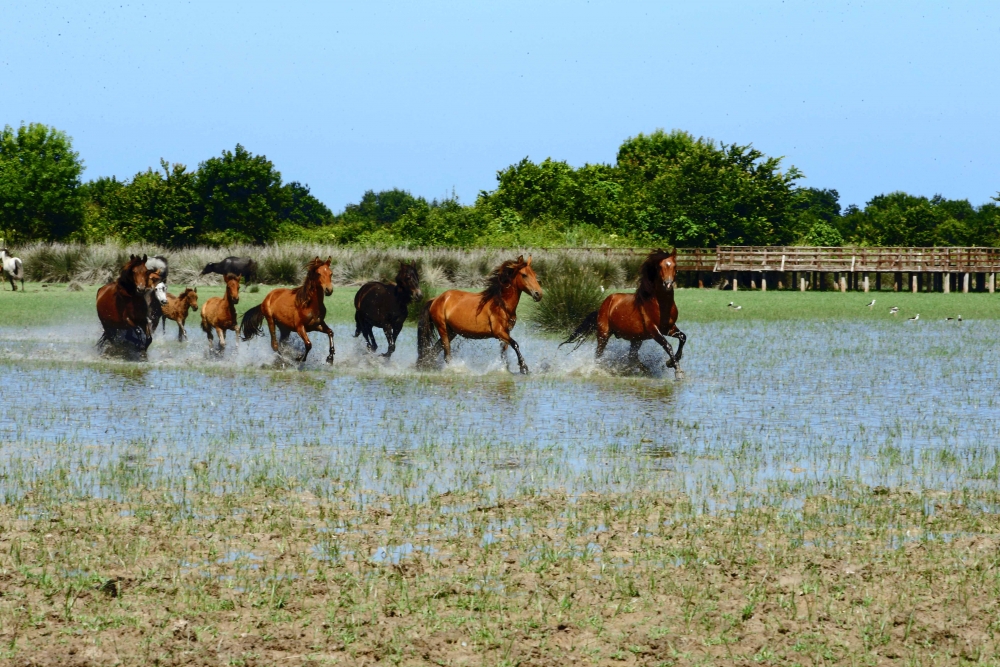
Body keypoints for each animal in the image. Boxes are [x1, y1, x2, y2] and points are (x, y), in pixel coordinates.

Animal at [416, 256, 544, 374]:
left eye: (534, 274)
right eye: (524, 275)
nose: (539, 294)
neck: (501, 304)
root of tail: (436, 299)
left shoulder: (506, 333)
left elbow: (504, 353)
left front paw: (506, 370)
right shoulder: (499, 332)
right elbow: (515, 344)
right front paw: (524, 367)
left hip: (451, 331)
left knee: (435, 350)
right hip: (442, 329)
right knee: (446, 354)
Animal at [564, 249, 688, 378]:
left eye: (675, 266)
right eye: (660, 266)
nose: (667, 284)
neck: (660, 305)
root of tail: (604, 305)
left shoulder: (669, 328)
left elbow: (683, 337)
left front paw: (671, 362)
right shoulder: (654, 330)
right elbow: (667, 345)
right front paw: (678, 371)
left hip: (636, 338)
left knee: (632, 357)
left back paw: (646, 371)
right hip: (604, 334)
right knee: (598, 355)